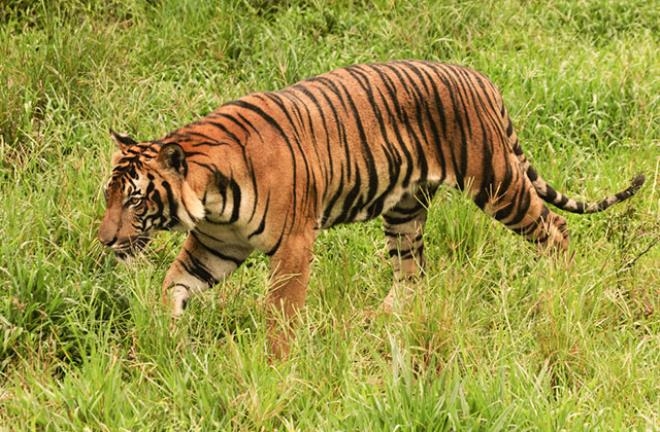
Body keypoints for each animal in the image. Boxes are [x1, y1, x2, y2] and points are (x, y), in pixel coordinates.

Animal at [99, 60, 644, 358]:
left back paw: (560, 290)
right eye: (108, 196)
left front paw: (275, 364)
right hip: (405, 210)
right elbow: (174, 284)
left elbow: (280, 311)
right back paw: (374, 320)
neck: (210, 197)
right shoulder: (216, 244)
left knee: (554, 228)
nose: (105, 241)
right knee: (412, 275)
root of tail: (479, 76)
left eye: (135, 198)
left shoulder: (293, 244)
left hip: (495, 182)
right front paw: (166, 337)